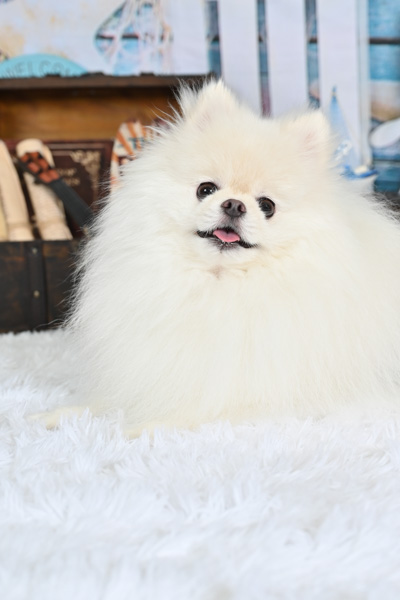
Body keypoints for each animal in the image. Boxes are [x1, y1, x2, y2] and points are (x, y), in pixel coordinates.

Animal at [39, 81, 400, 436]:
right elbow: (106, 400)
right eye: (206, 189)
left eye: (267, 205)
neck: (218, 284)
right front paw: (59, 415)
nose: (234, 205)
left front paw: (141, 428)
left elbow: (196, 410)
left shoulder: (268, 395)